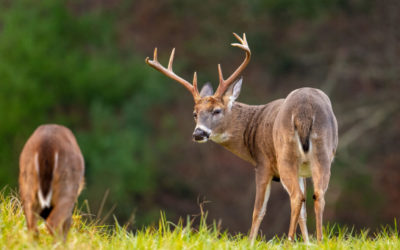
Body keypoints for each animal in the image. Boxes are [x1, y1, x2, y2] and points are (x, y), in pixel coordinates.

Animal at [145, 33, 338, 242]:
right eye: (195, 114)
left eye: (217, 110)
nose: (198, 133)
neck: (252, 128)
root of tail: (304, 110)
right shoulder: (302, 170)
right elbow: (303, 213)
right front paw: (308, 243)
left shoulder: (263, 163)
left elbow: (258, 211)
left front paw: (251, 241)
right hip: (323, 152)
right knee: (318, 195)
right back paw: (320, 240)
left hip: (285, 154)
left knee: (297, 197)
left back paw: (288, 241)